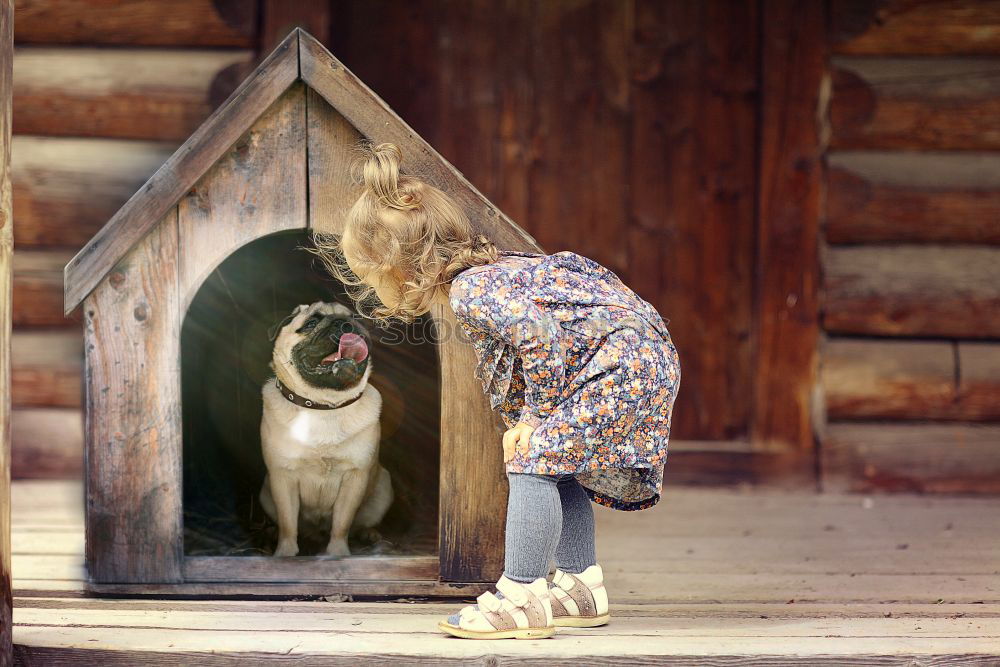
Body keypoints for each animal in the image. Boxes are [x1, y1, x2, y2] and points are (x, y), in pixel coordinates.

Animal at [260, 302, 392, 560]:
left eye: (356, 319)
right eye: (311, 323)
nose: (345, 324)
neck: (323, 406)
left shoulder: (354, 478)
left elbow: (342, 524)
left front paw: (338, 553)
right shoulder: (283, 477)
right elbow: (288, 524)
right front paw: (285, 554)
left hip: (383, 486)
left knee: (360, 523)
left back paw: (369, 534)